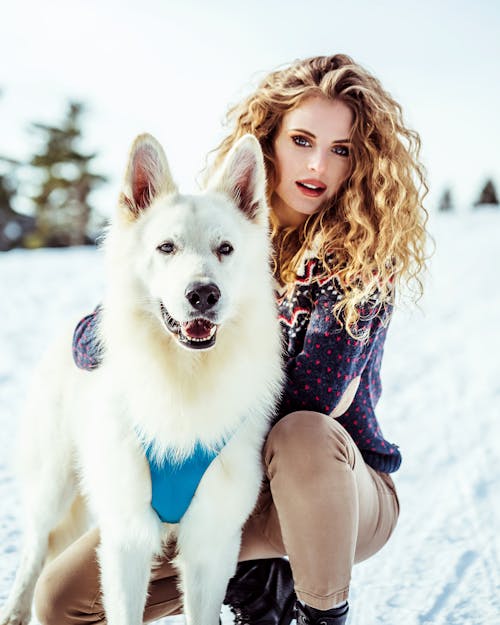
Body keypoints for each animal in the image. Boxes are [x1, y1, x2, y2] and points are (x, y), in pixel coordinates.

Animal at [1, 134, 286, 624]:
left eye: (225, 249)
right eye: (166, 247)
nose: (203, 294)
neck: (183, 380)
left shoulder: (211, 545)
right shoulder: (126, 540)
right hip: (53, 486)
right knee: (33, 552)